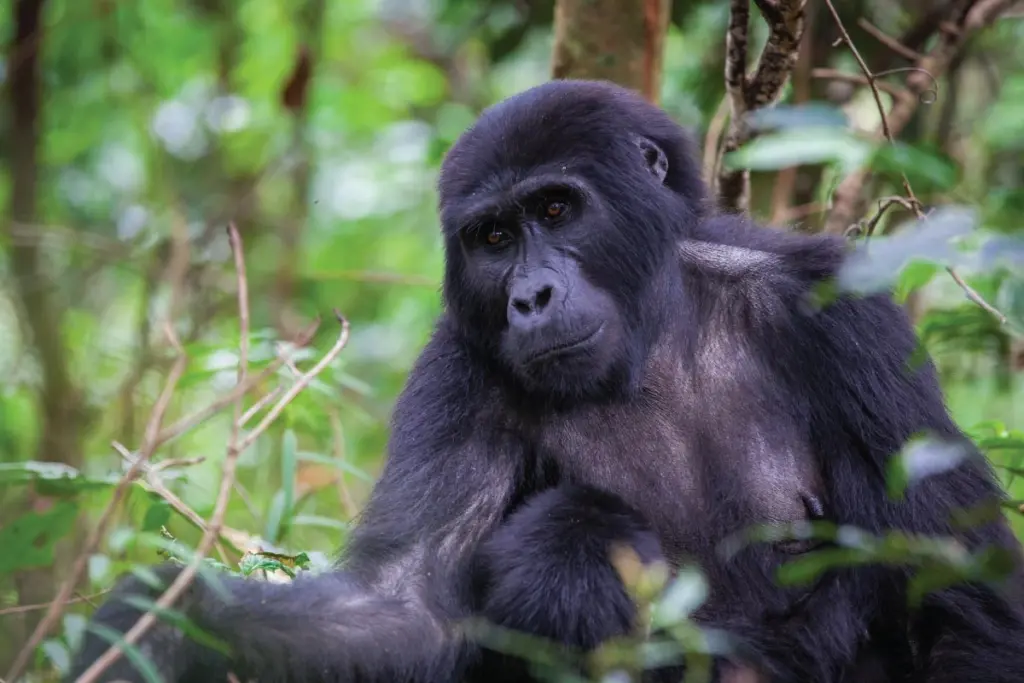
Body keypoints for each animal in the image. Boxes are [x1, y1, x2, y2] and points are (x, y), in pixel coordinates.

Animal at [66, 80, 1024, 683]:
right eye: (493, 237)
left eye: (557, 209)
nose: (530, 296)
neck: (657, 328)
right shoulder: (457, 370)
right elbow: (403, 603)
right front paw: (163, 624)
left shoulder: (843, 311)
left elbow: (964, 607)